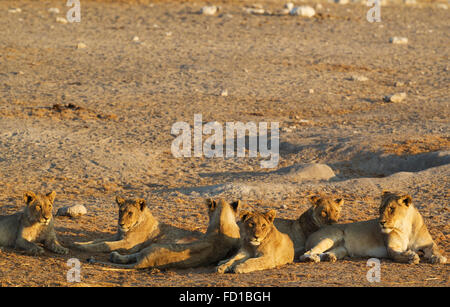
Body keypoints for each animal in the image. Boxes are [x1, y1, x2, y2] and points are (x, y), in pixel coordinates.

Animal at [108, 200, 243, 270]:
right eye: (121, 212)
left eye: (130, 213)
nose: (121, 223)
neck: (221, 222)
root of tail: (145, 262)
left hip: (151, 247)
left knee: (133, 256)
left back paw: (114, 255)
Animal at [298, 190, 446, 264]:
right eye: (380, 209)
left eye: (391, 209)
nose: (381, 222)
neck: (406, 227)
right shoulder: (391, 248)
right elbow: (397, 255)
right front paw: (411, 256)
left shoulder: (427, 244)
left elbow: (436, 249)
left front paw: (439, 258)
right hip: (332, 236)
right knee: (306, 253)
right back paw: (312, 258)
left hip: (342, 250)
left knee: (327, 253)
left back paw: (328, 257)